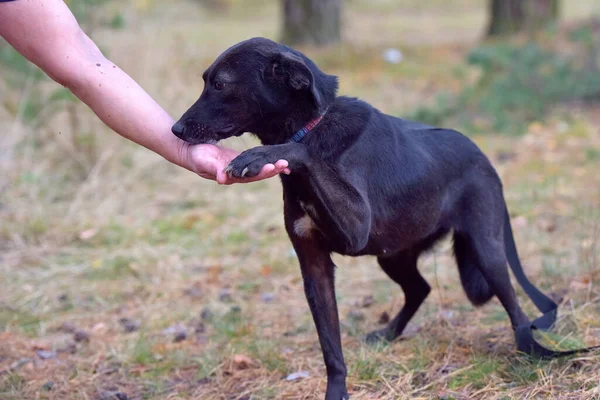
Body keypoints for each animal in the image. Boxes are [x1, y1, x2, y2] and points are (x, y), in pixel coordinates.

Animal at [171, 36, 588, 396]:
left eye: (220, 84)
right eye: (206, 81)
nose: (175, 129)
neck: (312, 126)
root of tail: (484, 157)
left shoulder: (355, 228)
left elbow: (301, 153)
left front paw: (263, 155)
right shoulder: (314, 266)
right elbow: (331, 348)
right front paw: (337, 391)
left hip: (486, 249)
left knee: (515, 306)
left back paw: (532, 354)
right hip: (393, 253)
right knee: (420, 288)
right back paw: (389, 334)